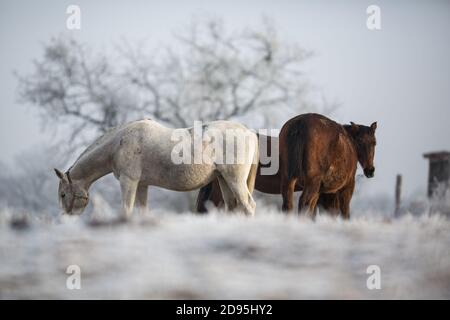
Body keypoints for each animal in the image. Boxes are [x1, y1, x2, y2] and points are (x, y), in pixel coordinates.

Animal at [55, 119, 260, 219]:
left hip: (235, 180)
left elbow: (126, 210)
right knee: (233, 206)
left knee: (248, 206)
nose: (64, 218)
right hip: (224, 179)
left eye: (63, 194)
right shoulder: (141, 185)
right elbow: (142, 211)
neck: (118, 144)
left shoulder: (128, 181)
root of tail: (249, 132)